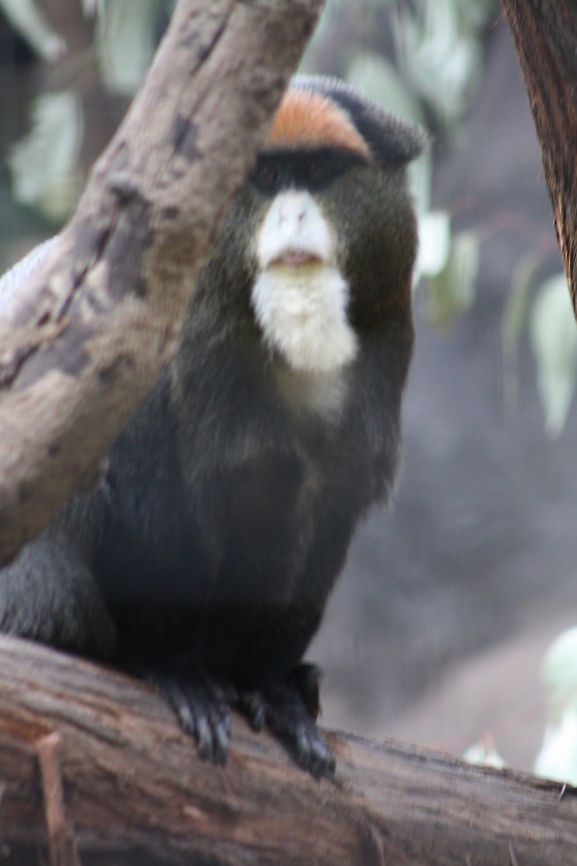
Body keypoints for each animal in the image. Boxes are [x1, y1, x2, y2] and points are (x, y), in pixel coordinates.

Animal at [0, 76, 425, 776]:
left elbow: (318, 535)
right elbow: (149, 514)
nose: (293, 215)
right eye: (267, 176)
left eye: (317, 173)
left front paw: (271, 687)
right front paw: (174, 672)